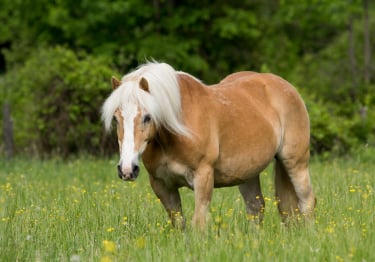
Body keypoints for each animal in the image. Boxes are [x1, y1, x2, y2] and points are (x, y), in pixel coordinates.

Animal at [102, 62, 318, 229]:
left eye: (147, 117)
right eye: (116, 118)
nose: (127, 170)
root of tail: (285, 86)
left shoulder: (203, 177)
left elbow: (198, 223)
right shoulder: (162, 185)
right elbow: (178, 223)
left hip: (295, 162)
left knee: (307, 202)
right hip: (247, 173)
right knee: (256, 208)